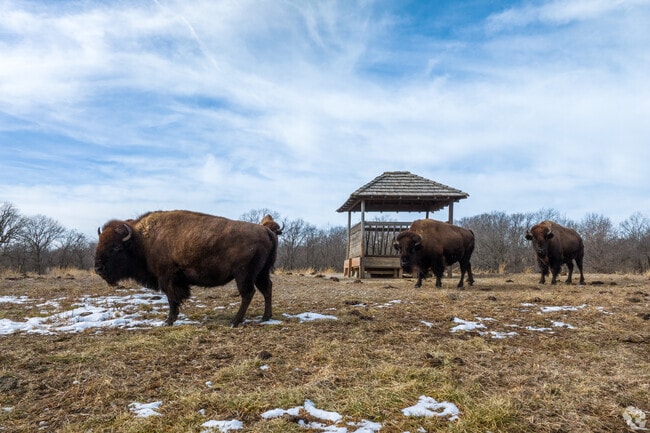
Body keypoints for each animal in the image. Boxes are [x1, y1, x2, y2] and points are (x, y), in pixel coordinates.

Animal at [94, 210, 278, 327]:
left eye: (116, 247)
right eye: (100, 243)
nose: (97, 268)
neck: (142, 241)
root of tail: (266, 230)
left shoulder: (167, 278)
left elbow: (172, 299)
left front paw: (168, 321)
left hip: (244, 275)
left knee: (248, 294)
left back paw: (234, 322)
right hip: (260, 274)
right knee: (266, 289)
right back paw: (265, 317)